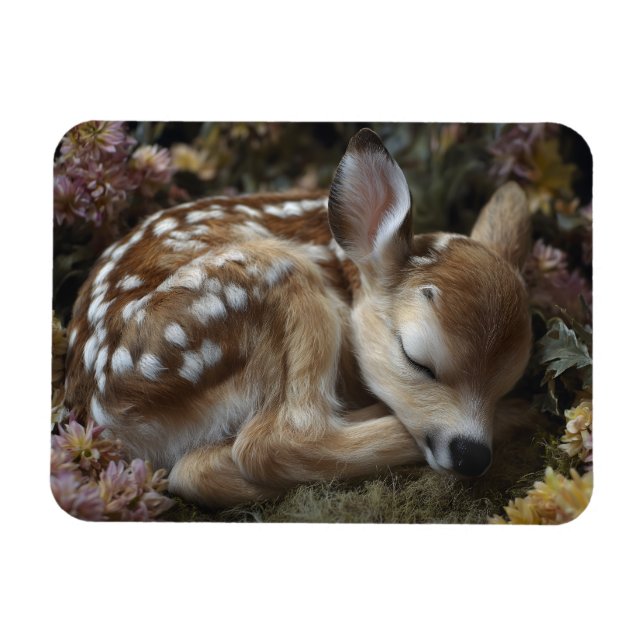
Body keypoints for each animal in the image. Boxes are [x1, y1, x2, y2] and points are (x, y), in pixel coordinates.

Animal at [63, 128, 533, 509]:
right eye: (416, 359)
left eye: (508, 377)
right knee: (275, 443)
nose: (472, 455)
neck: (346, 269)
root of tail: (104, 412)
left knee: (194, 471)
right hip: (273, 280)